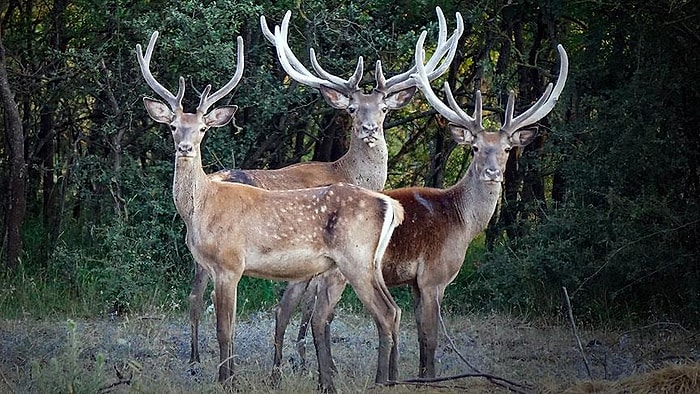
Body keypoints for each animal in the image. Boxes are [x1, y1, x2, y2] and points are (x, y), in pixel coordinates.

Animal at [135, 31, 404, 394]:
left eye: (203, 128)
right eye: (174, 125)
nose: (185, 148)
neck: (203, 209)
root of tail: (390, 204)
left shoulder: (230, 264)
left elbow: (225, 328)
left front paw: (228, 380)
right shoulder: (214, 265)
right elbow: (228, 325)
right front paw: (229, 375)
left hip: (355, 258)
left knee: (385, 313)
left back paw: (380, 381)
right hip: (368, 263)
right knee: (394, 310)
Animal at [274, 33, 568, 378]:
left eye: (507, 148)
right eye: (475, 147)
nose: (492, 172)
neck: (461, 221)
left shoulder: (415, 283)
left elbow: (417, 332)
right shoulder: (433, 277)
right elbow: (429, 336)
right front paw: (427, 377)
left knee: (287, 309)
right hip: (340, 270)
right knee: (315, 315)